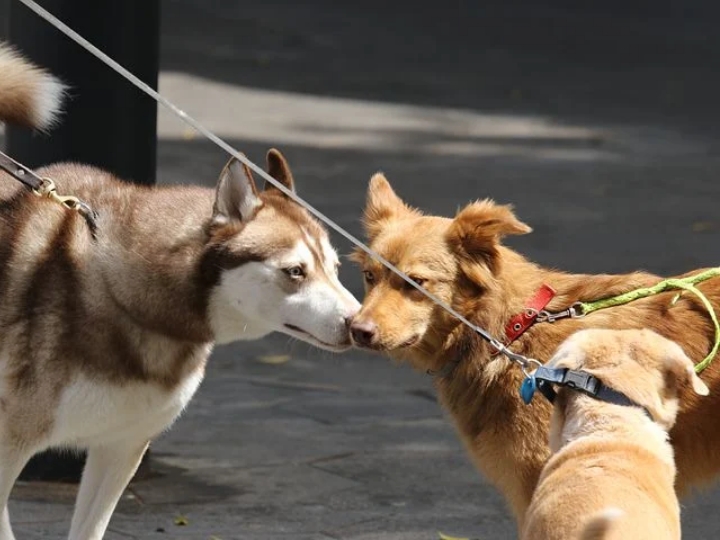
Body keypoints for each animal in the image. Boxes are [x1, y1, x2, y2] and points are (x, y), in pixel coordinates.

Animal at [0, 43, 360, 540]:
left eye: (335, 269)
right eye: (295, 272)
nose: (361, 325)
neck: (129, 300)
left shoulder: (122, 445)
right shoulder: (10, 442)